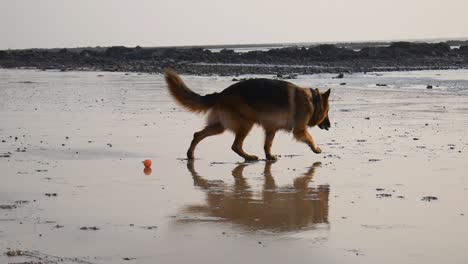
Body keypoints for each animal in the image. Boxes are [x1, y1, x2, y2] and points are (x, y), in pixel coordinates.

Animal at [165, 68, 332, 161]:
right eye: (328, 112)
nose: (330, 126)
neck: (312, 100)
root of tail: (221, 94)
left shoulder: (271, 129)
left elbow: (267, 145)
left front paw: (269, 157)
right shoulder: (299, 130)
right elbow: (310, 138)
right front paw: (316, 149)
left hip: (220, 126)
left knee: (198, 134)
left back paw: (190, 154)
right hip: (247, 123)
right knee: (235, 145)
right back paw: (249, 157)